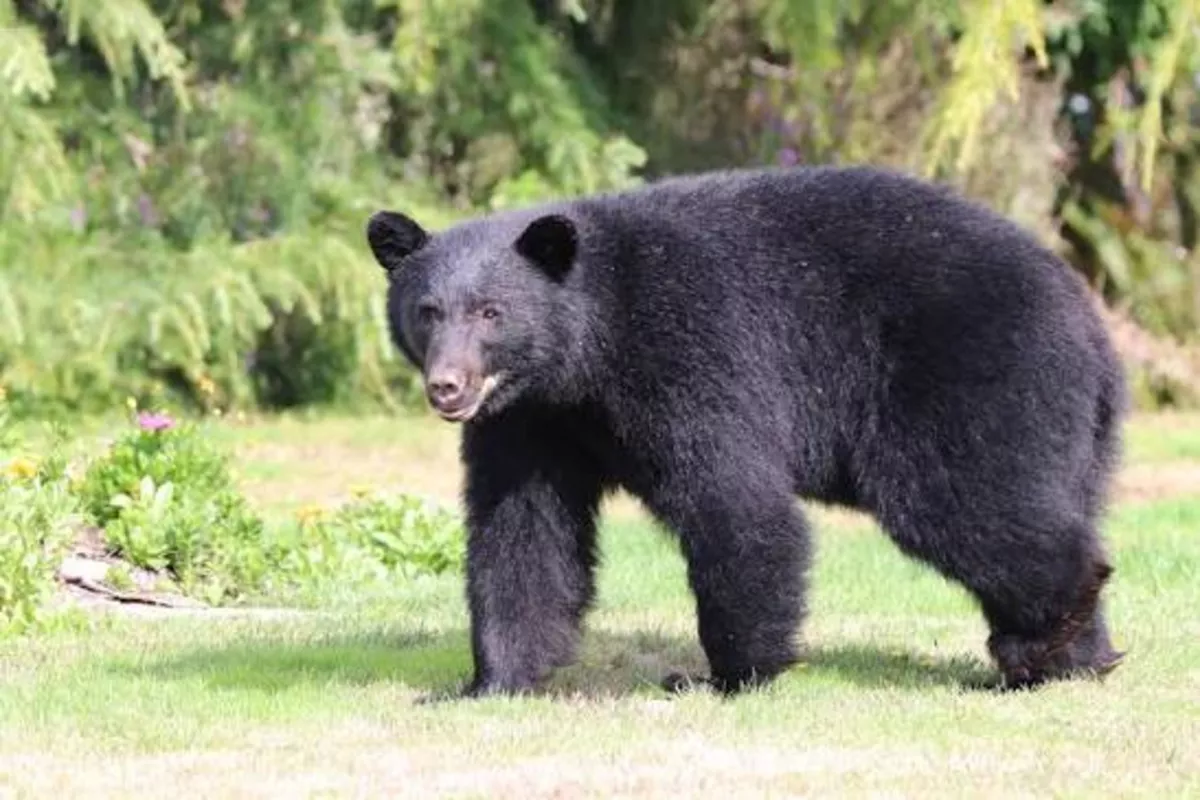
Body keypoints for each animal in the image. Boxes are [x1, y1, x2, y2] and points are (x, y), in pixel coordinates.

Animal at [364, 164, 1126, 698]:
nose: (447, 386)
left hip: (971, 376)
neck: (583, 355)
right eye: (428, 311)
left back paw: (1052, 626)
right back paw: (1063, 659)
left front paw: (729, 674)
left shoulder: (687, 349)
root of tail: (1091, 324)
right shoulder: (528, 421)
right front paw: (490, 681)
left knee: (963, 501)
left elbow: (733, 499)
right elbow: (523, 532)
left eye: (491, 312)